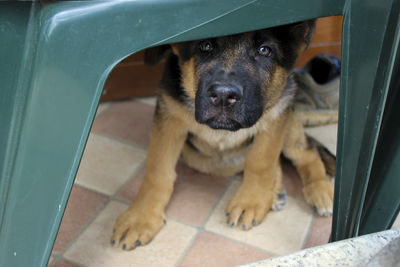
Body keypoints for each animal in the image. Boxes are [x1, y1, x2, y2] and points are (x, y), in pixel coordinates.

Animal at [110, 20, 334, 251]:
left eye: (265, 50)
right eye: (205, 46)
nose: (224, 96)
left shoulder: (277, 112)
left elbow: (260, 161)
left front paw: (250, 200)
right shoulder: (169, 116)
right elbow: (158, 172)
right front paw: (141, 217)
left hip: (289, 122)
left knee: (307, 153)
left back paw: (320, 191)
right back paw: (276, 190)